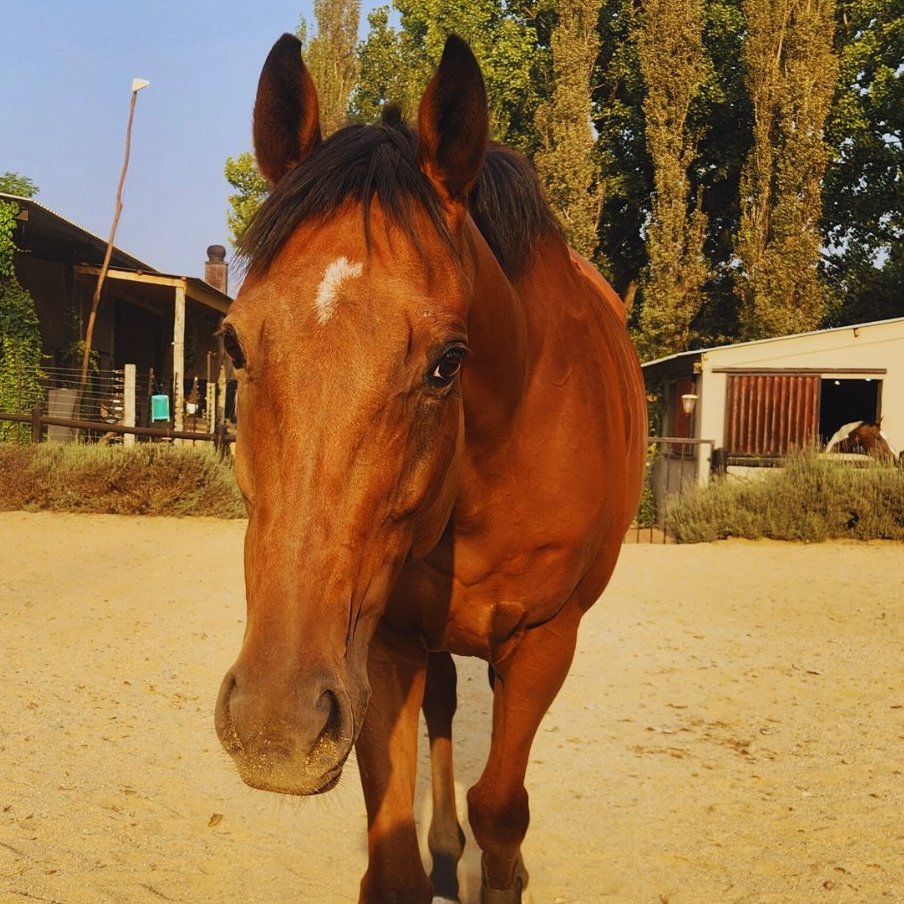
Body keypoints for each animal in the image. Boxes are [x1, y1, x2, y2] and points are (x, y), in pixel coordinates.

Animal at [214, 33, 646, 904]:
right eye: (233, 344)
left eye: (449, 362)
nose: (275, 725)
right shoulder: (385, 639)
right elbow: (392, 855)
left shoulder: (545, 641)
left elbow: (503, 816)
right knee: (443, 708)